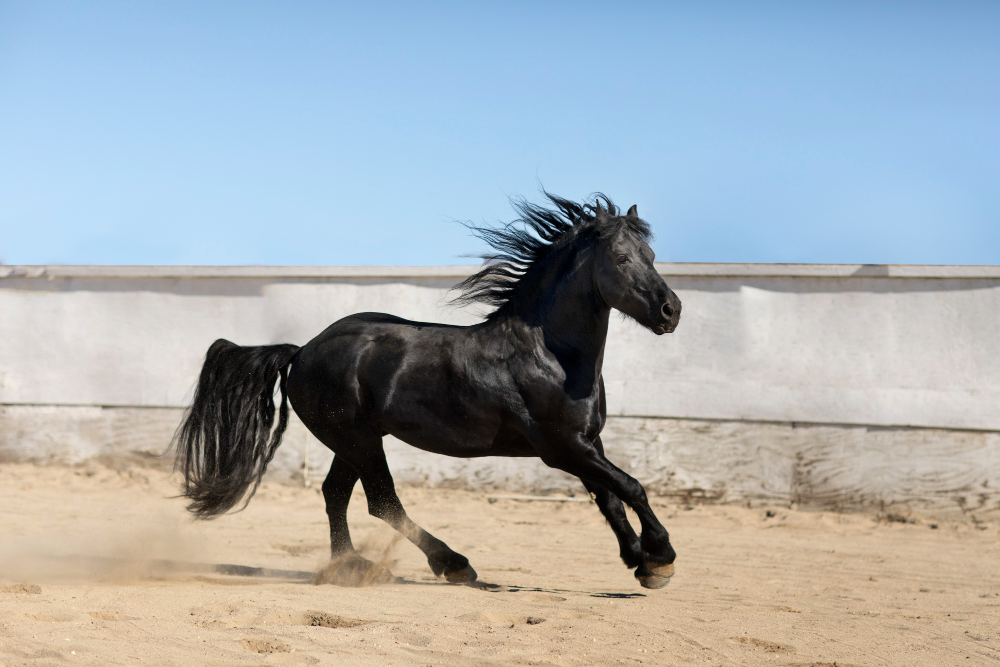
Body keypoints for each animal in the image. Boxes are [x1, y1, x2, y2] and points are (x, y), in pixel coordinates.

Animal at [178, 193, 680, 588]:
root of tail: (301, 352)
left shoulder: (587, 443)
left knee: (335, 494)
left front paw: (639, 562)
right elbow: (631, 487)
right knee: (382, 502)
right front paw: (660, 557)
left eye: (652, 255)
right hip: (358, 439)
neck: (551, 355)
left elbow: (610, 498)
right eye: (621, 259)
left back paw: (349, 566)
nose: (670, 310)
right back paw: (452, 564)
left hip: (353, 441)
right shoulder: (562, 448)